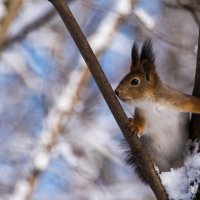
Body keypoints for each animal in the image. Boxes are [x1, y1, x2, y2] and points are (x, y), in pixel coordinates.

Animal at [115, 39, 200, 179]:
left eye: (134, 81)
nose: (116, 92)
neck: (151, 103)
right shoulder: (142, 114)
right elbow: (141, 126)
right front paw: (134, 126)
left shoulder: (177, 99)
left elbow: (193, 103)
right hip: (154, 153)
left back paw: (179, 161)